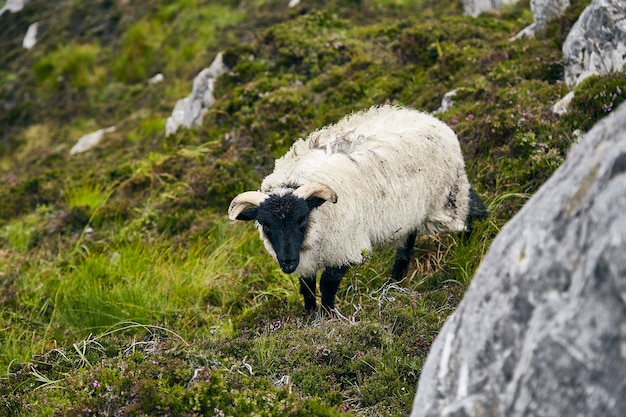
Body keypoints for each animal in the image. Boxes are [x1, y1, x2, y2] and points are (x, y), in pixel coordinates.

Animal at [227, 104, 486, 312]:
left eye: (301, 219)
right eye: (266, 225)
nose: (288, 262)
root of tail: (436, 122)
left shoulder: (344, 249)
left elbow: (327, 285)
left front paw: (329, 316)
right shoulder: (306, 260)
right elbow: (307, 288)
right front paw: (309, 317)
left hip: (446, 200)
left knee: (465, 222)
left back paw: (467, 252)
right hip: (411, 213)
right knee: (406, 247)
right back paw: (394, 284)